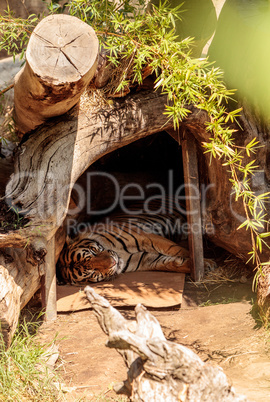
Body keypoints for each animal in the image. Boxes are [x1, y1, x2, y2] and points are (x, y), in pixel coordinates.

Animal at [57, 200, 212, 282]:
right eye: (93, 272)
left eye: (93, 251)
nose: (113, 262)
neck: (121, 254)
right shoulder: (146, 259)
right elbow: (169, 264)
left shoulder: (146, 237)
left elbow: (176, 249)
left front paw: (204, 263)